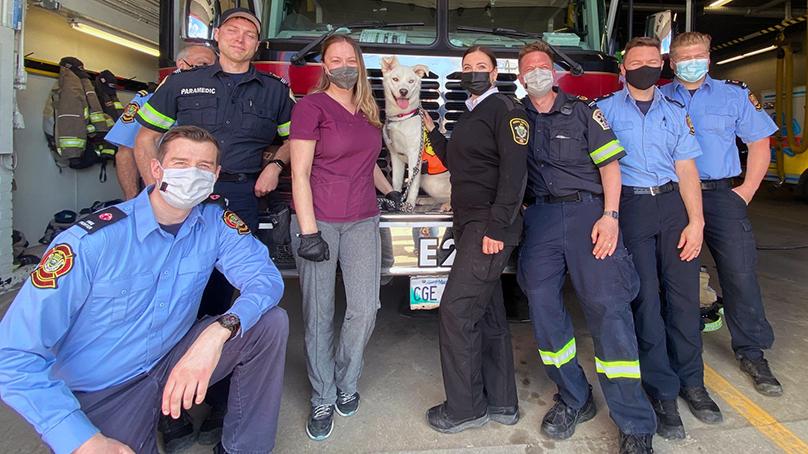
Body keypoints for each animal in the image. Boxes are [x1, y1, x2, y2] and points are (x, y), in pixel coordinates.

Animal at [382, 56, 452, 211]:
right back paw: (426, 200)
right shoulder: (395, 156)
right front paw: (396, 200)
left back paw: (447, 205)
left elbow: (412, 185)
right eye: (395, 79)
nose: (403, 91)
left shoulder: (414, 155)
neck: (401, 117)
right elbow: (396, 182)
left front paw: (409, 203)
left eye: (411, 81)